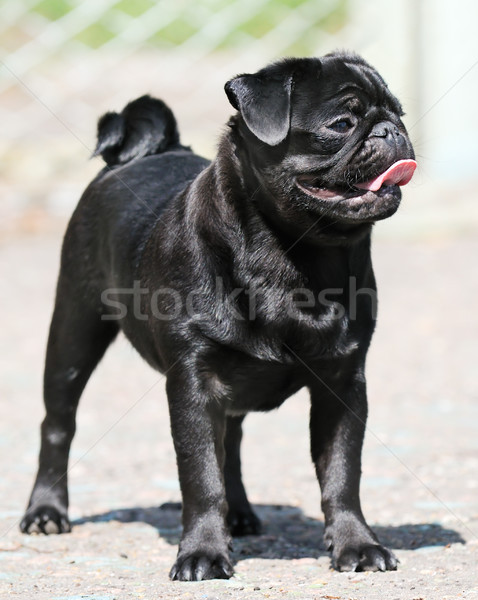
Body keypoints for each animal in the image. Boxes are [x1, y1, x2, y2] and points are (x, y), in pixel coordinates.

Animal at [20, 51, 414, 580]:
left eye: (399, 114)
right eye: (342, 124)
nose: (390, 130)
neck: (295, 259)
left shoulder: (343, 384)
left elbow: (341, 473)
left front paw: (357, 545)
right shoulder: (193, 382)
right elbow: (200, 472)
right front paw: (203, 552)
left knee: (234, 443)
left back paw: (241, 514)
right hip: (73, 333)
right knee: (58, 423)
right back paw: (45, 511)